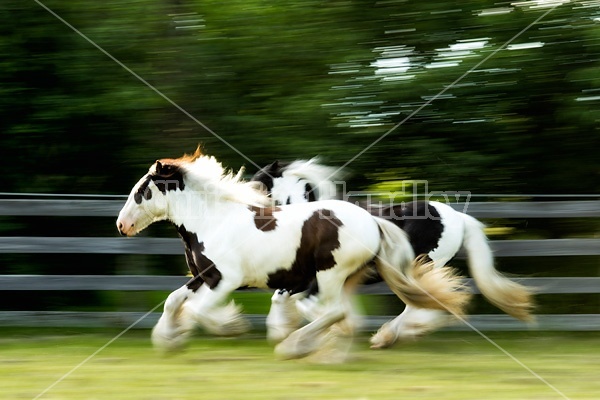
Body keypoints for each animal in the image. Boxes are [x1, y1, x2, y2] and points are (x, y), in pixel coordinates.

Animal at [116, 148, 468, 358]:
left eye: (142, 191)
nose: (122, 224)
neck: (212, 221)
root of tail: (373, 222)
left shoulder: (228, 279)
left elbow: (200, 311)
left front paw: (231, 328)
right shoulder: (205, 276)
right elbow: (175, 300)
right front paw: (168, 339)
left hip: (332, 274)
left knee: (342, 312)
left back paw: (301, 345)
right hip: (344, 278)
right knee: (351, 313)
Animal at [251, 158, 532, 348]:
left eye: (259, 182)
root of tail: (457, 217)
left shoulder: (312, 280)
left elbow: (306, 305)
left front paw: (330, 330)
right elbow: (286, 300)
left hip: (421, 267)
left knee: (421, 303)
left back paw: (390, 336)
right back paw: (395, 334)